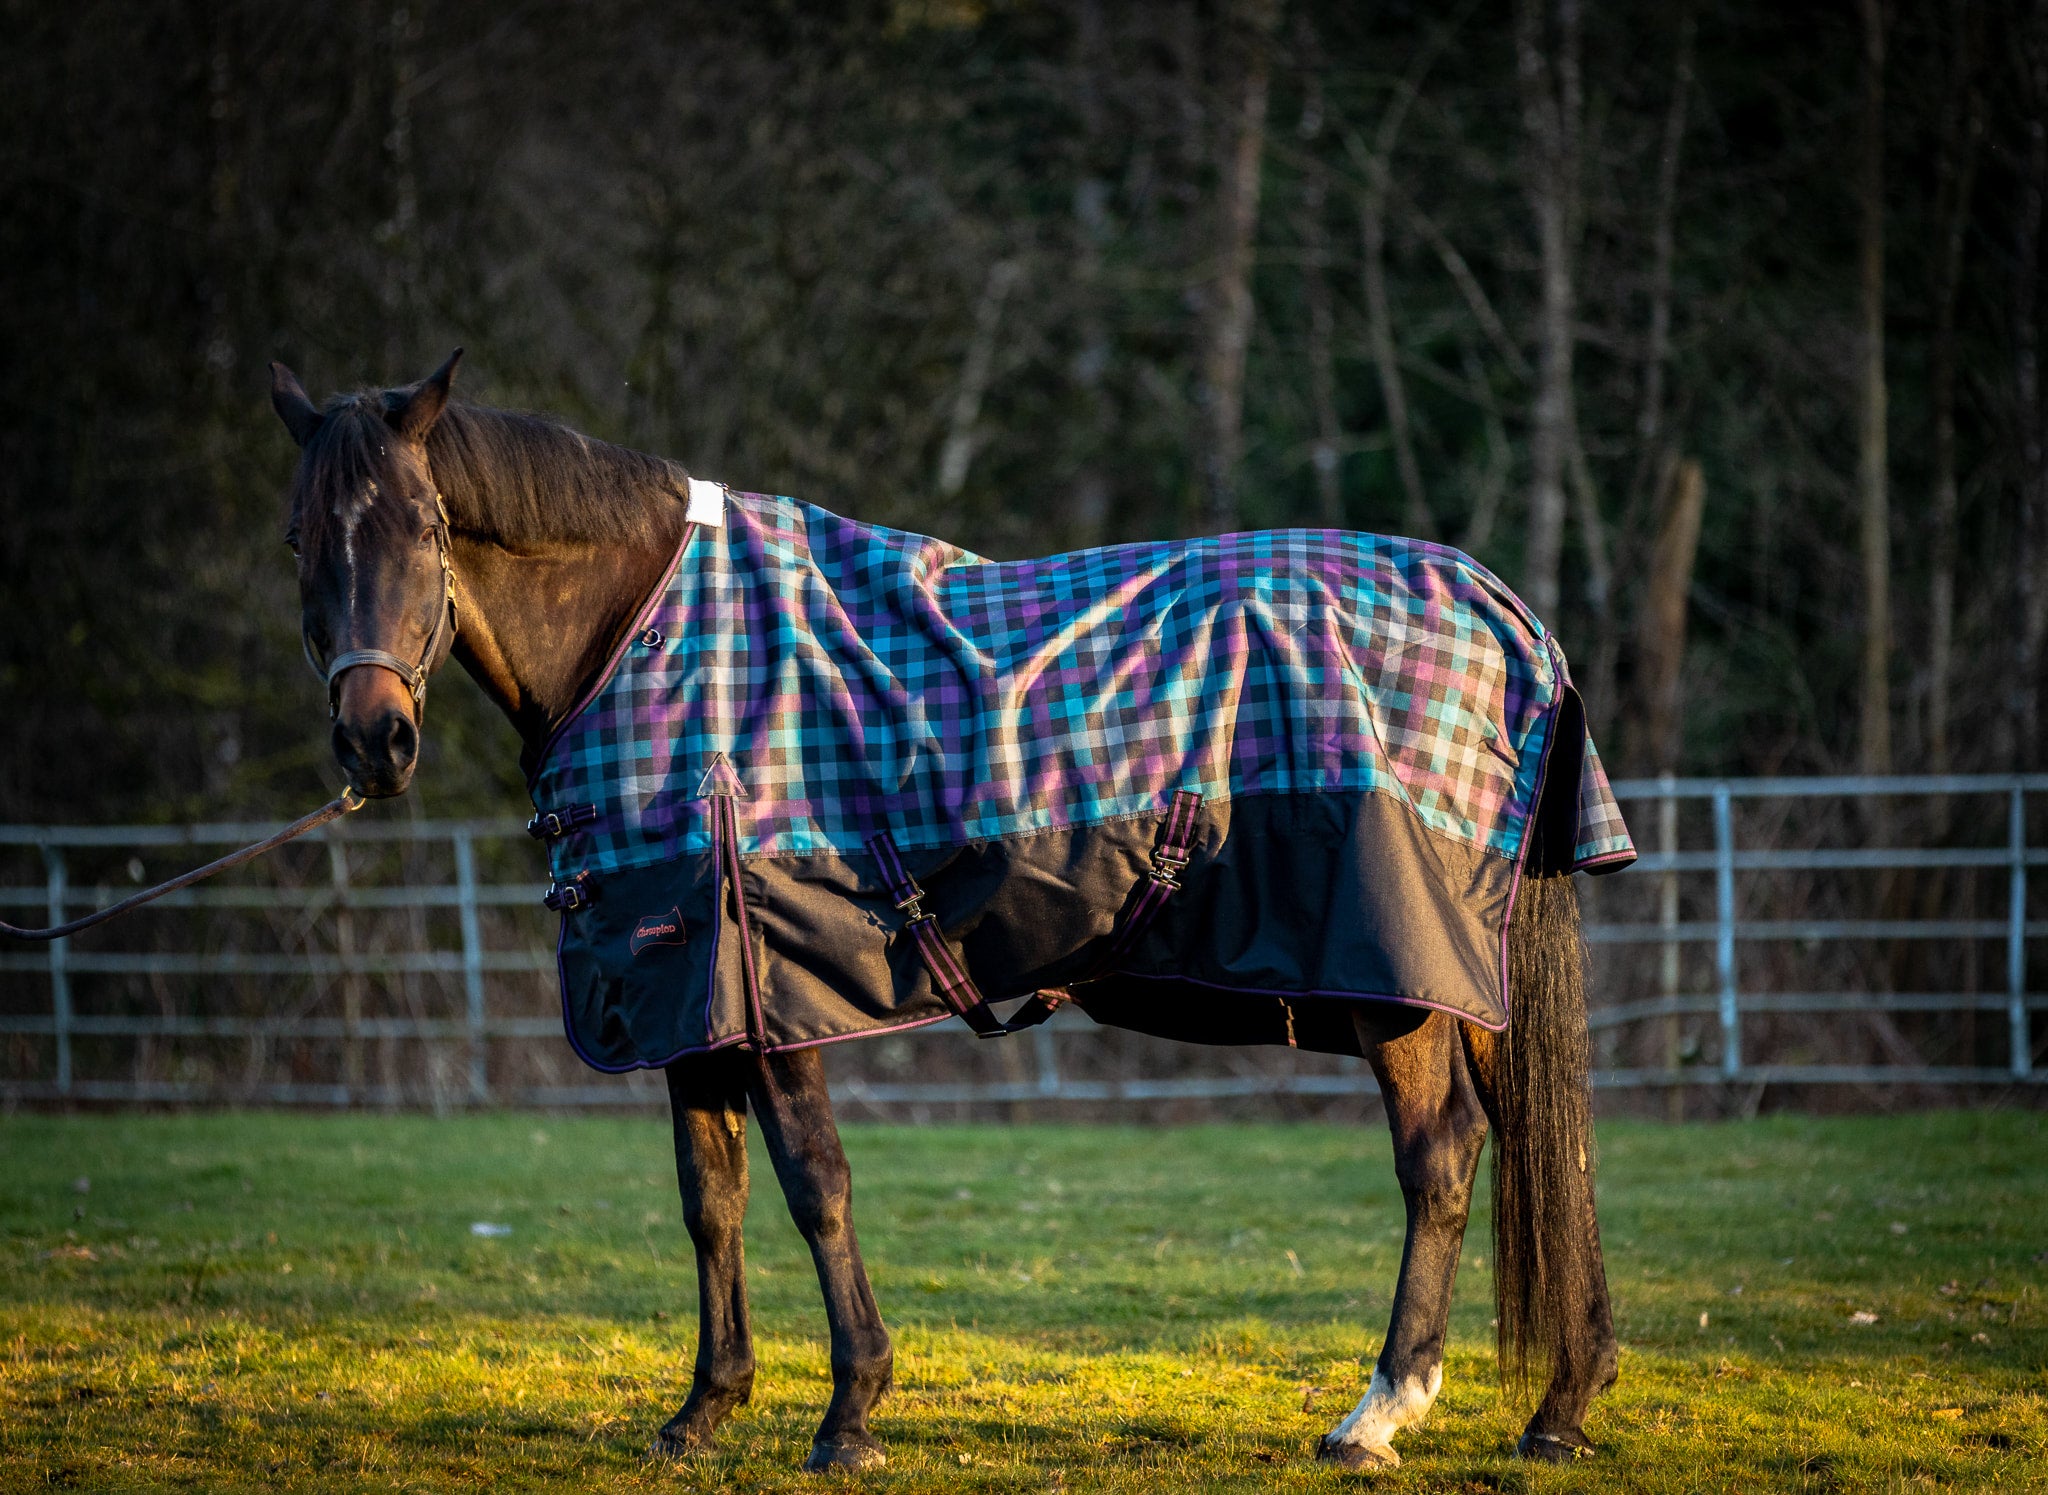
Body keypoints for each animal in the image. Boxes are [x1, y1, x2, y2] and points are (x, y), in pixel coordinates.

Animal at [272, 350, 1630, 1466]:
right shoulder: (687, 998)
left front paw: (849, 1412)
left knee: (1439, 1156)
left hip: (1397, 981)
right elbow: (710, 1201)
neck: (647, 641)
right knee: (1544, 1148)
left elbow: (814, 1185)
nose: (374, 741)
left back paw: (1378, 1412)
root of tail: (1504, 615)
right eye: (298, 542)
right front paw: (702, 1410)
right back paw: (1558, 1406)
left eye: (427, 527)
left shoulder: (769, 990)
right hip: (1455, 980)